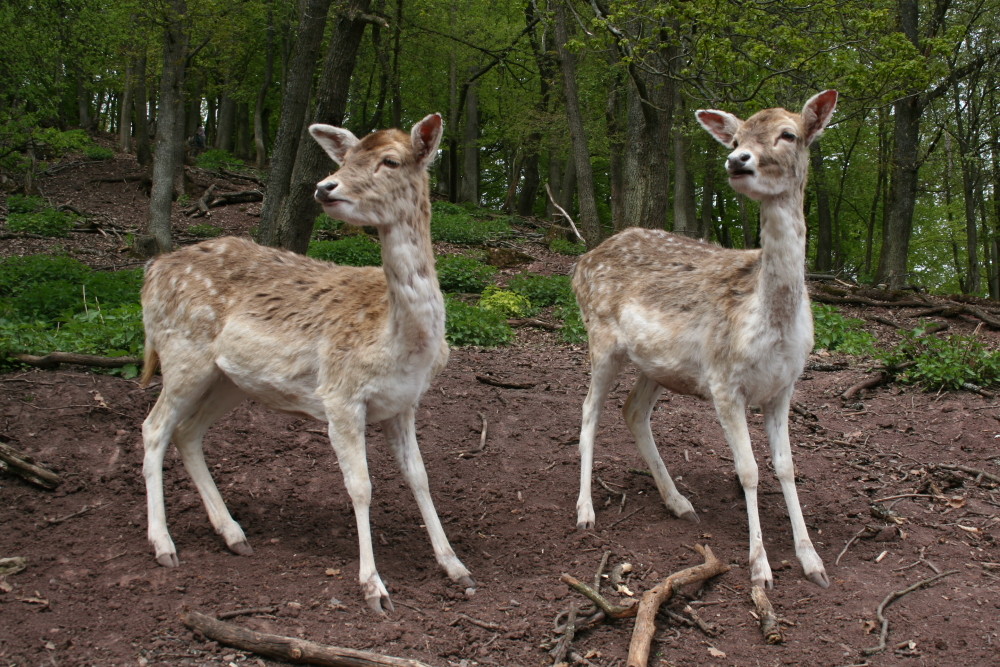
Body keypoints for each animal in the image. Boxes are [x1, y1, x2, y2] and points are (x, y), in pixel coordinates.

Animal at [138, 115, 476, 616]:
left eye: (390, 161)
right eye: (346, 157)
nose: (324, 186)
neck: (401, 343)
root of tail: (150, 272)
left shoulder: (405, 403)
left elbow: (421, 477)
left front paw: (455, 566)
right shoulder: (340, 395)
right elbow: (361, 486)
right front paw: (374, 587)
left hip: (227, 378)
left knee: (187, 431)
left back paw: (234, 534)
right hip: (182, 353)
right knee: (154, 427)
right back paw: (164, 544)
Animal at [572, 90, 836, 588]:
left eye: (789, 134)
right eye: (735, 138)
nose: (737, 159)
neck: (772, 325)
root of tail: (579, 262)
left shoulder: (785, 386)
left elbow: (787, 467)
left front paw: (812, 560)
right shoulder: (723, 381)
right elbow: (749, 471)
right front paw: (760, 569)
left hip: (657, 364)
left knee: (632, 410)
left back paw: (679, 502)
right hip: (602, 338)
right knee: (589, 410)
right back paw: (585, 512)